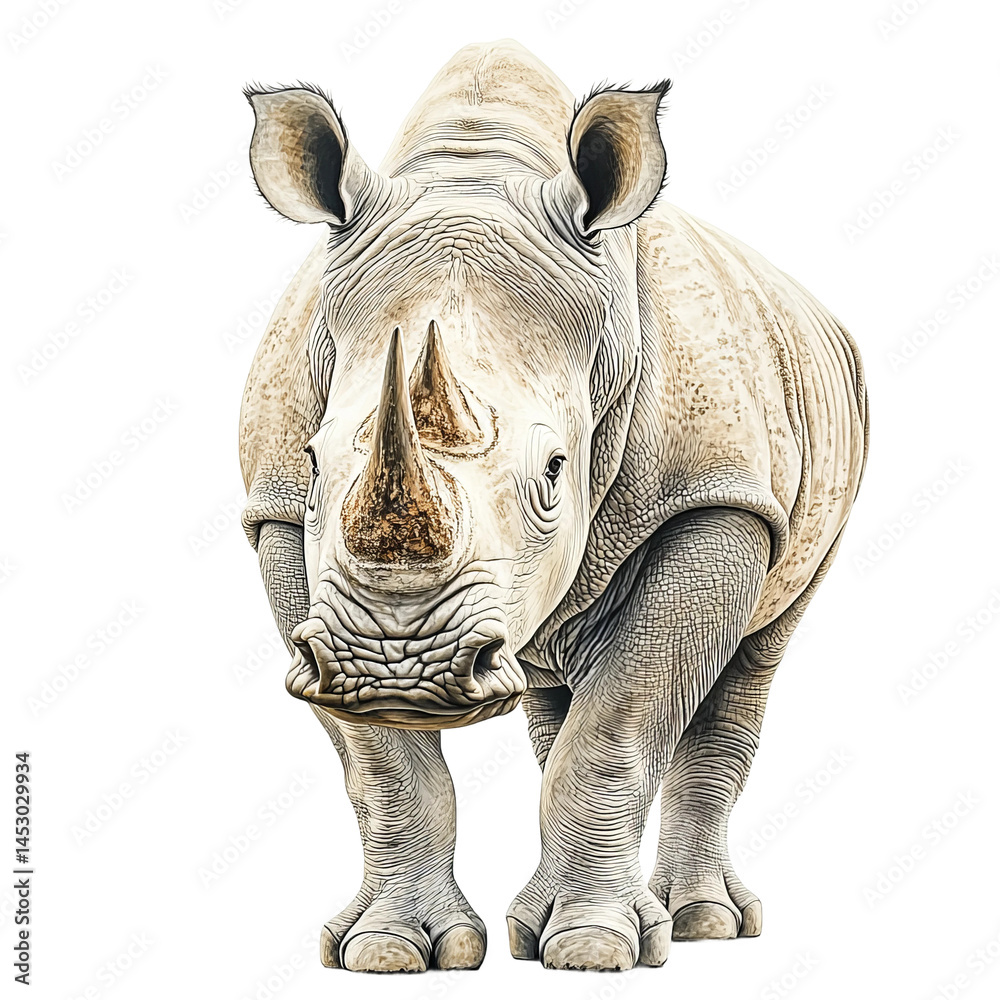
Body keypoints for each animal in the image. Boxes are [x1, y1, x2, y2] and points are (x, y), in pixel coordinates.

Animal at [239, 39, 868, 973]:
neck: (476, 169)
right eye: (315, 464)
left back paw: (702, 923)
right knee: (550, 681)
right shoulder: (276, 516)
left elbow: (618, 729)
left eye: (553, 473)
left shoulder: (714, 496)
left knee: (751, 660)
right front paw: (386, 950)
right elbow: (382, 761)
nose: (398, 669)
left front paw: (596, 950)